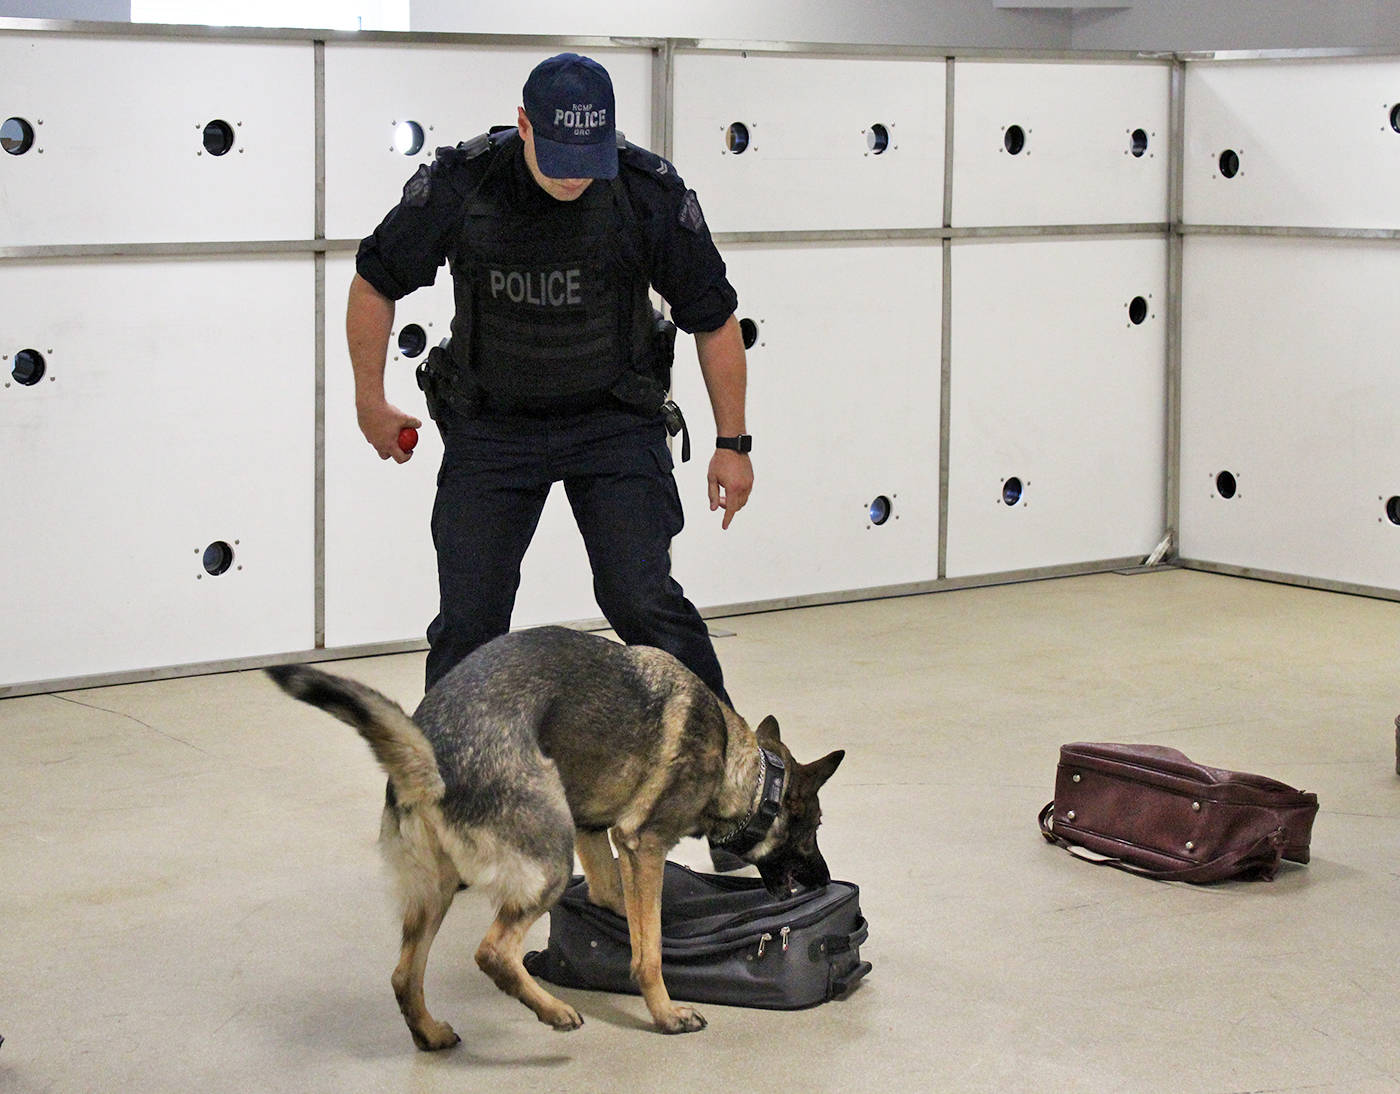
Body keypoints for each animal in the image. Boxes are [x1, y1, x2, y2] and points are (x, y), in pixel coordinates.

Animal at [268, 619, 845, 1047]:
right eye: (815, 828)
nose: (823, 880)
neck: (740, 766)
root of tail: (430, 756)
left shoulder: (598, 836)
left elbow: (624, 908)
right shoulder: (643, 844)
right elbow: (649, 954)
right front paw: (665, 1013)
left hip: (438, 891)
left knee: (404, 976)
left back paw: (431, 1034)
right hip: (550, 864)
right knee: (491, 952)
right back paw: (554, 1012)